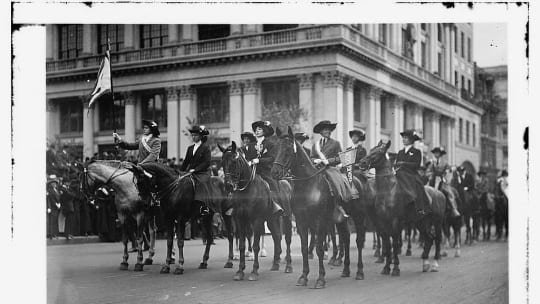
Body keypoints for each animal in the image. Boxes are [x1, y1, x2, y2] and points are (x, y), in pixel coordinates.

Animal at [217, 141, 292, 282]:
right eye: (222, 162)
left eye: (234, 162)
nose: (228, 186)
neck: (247, 190)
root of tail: (286, 182)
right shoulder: (240, 220)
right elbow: (241, 244)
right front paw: (240, 271)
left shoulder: (257, 220)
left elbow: (256, 245)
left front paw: (254, 271)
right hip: (272, 219)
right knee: (276, 236)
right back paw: (275, 263)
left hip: (287, 218)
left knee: (287, 238)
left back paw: (288, 266)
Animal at [272, 126, 370, 288]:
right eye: (276, 148)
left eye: (287, 149)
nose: (275, 173)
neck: (308, 186)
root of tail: (357, 178)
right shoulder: (301, 222)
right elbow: (304, 248)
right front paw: (303, 277)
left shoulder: (320, 221)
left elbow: (319, 248)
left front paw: (320, 279)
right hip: (342, 219)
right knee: (346, 239)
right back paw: (346, 270)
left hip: (359, 217)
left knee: (359, 241)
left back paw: (360, 272)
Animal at [358, 141, 448, 274]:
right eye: (370, 150)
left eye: (378, 152)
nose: (362, 163)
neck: (388, 191)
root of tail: (440, 193)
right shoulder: (382, 222)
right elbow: (387, 243)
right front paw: (386, 267)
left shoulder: (395, 221)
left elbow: (394, 243)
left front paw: (395, 268)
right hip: (421, 222)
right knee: (429, 239)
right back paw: (425, 263)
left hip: (437, 222)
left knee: (437, 239)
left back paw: (435, 264)